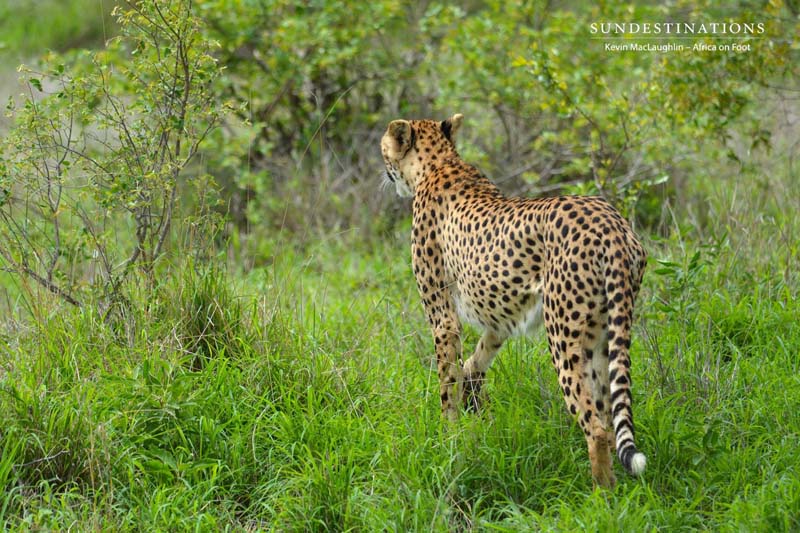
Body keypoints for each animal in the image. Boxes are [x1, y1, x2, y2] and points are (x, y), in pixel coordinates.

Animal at [380, 113, 648, 488]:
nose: (384, 167)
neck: (440, 162)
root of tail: (612, 222)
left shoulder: (443, 317)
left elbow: (446, 379)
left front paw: (447, 435)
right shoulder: (501, 316)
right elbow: (474, 361)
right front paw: (472, 399)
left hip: (564, 335)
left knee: (594, 425)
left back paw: (601, 494)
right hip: (603, 333)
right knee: (608, 418)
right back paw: (618, 489)